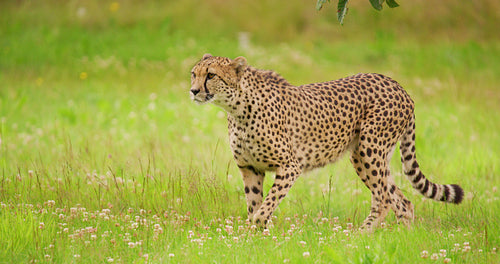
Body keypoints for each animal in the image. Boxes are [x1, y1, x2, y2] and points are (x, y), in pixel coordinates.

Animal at [189, 54, 462, 231]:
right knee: (402, 201)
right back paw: (404, 239)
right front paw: (251, 237)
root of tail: (398, 86)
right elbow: (254, 203)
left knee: (384, 198)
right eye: (194, 74)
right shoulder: (250, 168)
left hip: (369, 149)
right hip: (366, 155)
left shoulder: (290, 166)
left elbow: (265, 206)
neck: (237, 108)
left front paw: (257, 228)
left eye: (211, 75)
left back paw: (360, 236)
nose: (193, 90)